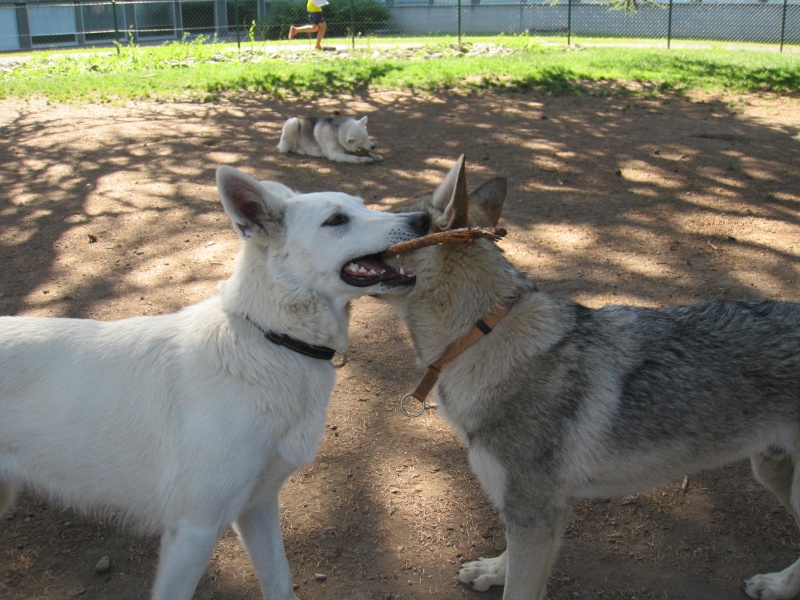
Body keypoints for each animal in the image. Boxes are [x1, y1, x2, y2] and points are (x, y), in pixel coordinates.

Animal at [0, 165, 432, 600]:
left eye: (363, 205)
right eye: (337, 220)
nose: (424, 219)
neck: (272, 338)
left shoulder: (258, 506)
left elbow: (280, 584)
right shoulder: (194, 532)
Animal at [378, 156, 800, 600]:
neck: (482, 335)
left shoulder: (535, 513)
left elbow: (519, 586)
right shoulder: (531, 513)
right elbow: (509, 554)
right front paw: (492, 571)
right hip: (771, 471)